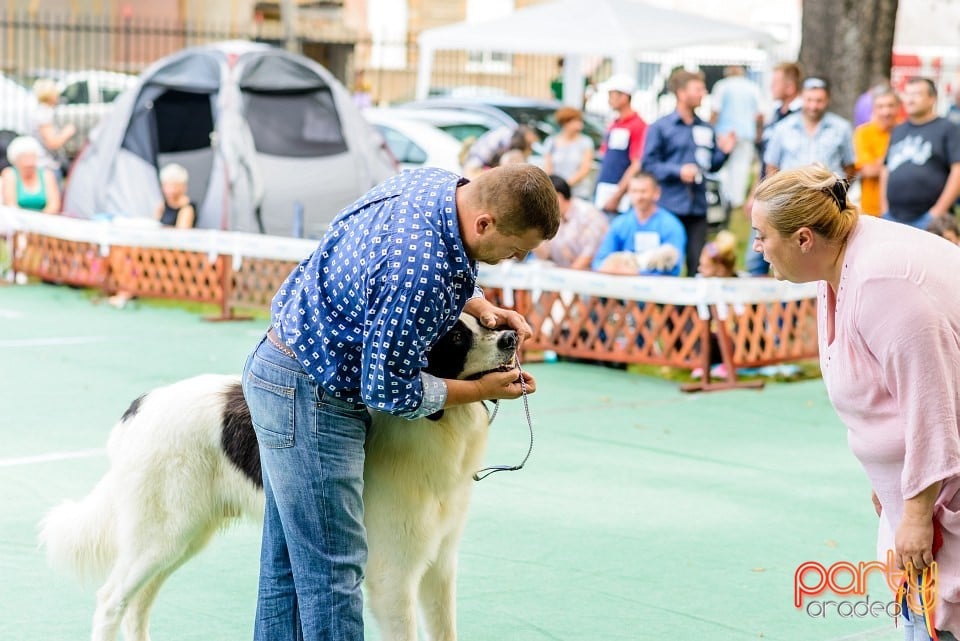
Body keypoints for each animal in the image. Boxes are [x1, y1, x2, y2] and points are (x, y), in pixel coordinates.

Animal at [39, 314, 516, 640]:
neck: (440, 425)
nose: (511, 337)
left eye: (484, 322)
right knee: (111, 601)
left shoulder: (440, 567)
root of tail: (139, 408)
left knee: (137, 603)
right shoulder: (393, 576)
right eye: (456, 337)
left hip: (181, 537)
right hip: (161, 534)